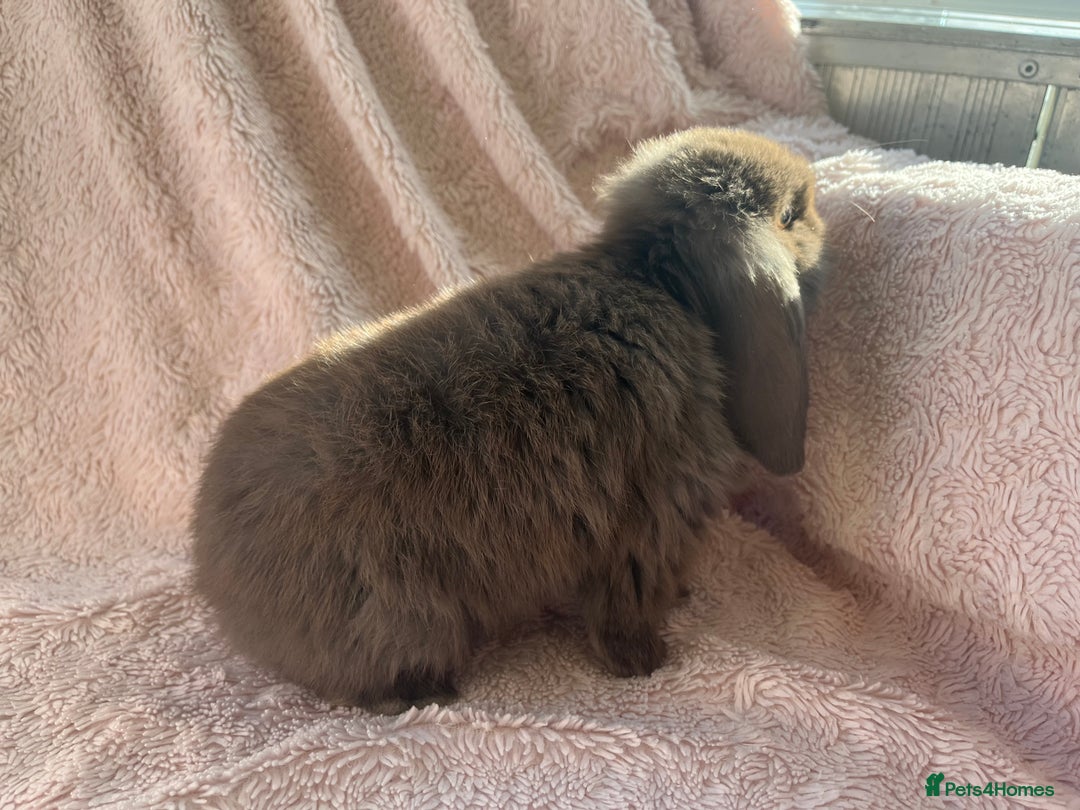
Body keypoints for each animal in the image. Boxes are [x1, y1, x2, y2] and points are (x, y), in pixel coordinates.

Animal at [191, 127, 828, 710]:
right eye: (790, 213)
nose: (823, 216)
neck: (658, 278)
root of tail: (214, 575)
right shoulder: (651, 522)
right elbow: (627, 609)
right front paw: (650, 665)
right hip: (411, 617)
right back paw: (430, 695)